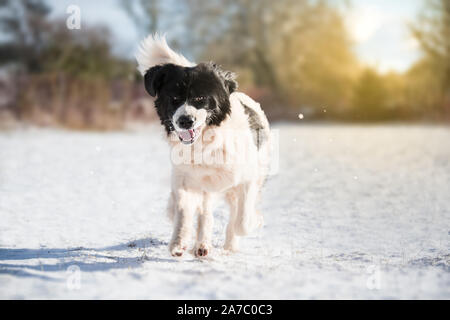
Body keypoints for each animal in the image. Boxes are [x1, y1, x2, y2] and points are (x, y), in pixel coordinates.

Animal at [136, 34, 270, 258]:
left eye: (200, 98)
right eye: (174, 98)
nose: (185, 120)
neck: (206, 144)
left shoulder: (247, 178)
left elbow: (242, 220)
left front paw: (253, 222)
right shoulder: (184, 177)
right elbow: (183, 209)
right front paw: (179, 242)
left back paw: (224, 244)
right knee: (204, 213)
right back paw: (201, 245)